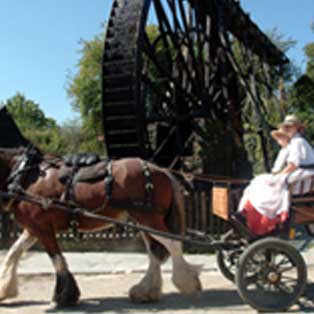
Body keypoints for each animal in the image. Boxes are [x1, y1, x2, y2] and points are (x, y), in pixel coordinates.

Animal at [0, 146, 201, 308]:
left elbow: (56, 259)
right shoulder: (34, 228)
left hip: (149, 219)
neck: (26, 176)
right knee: (155, 251)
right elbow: (13, 253)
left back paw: (186, 282)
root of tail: (160, 170)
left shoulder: (42, 228)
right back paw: (146, 291)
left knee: (172, 244)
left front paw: (63, 297)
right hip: (144, 221)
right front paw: (4, 289)